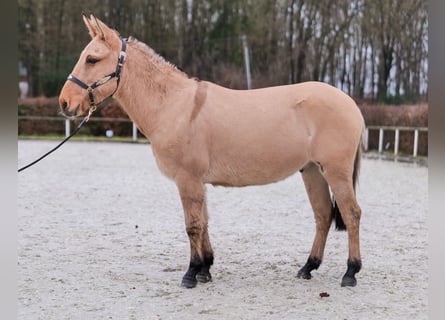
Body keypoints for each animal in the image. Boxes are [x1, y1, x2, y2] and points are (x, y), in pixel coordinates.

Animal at [59, 14, 364, 288]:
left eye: (92, 59)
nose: (64, 103)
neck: (176, 106)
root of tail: (350, 103)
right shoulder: (197, 182)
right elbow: (204, 222)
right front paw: (205, 268)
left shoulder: (188, 179)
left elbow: (193, 225)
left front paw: (191, 273)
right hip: (312, 171)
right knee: (323, 215)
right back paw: (308, 267)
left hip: (335, 172)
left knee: (351, 214)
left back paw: (350, 273)